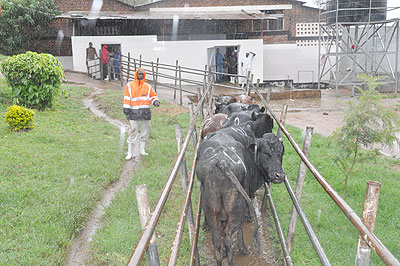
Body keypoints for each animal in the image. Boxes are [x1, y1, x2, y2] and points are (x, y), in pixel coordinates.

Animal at [196, 114, 284, 266]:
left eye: (281, 153)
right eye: (266, 153)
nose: (280, 175)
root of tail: (221, 161)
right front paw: (243, 249)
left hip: (210, 209)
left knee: (217, 244)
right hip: (236, 208)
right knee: (230, 241)